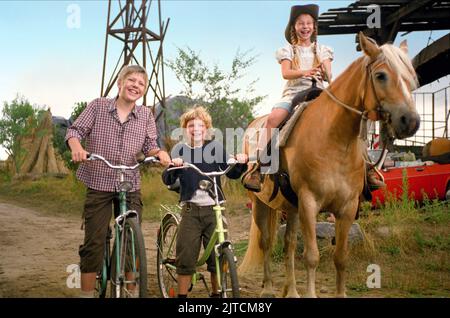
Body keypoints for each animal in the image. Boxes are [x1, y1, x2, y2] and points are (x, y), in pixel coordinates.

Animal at [241, 33, 420, 298]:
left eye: (410, 78)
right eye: (381, 75)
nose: (411, 122)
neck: (334, 141)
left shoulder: (347, 207)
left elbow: (341, 257)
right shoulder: (309, 203)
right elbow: (312, 257)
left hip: (291, 207)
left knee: (289, 244)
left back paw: (291, 291)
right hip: (260, 203)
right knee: (266, 243)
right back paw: (269, 288)